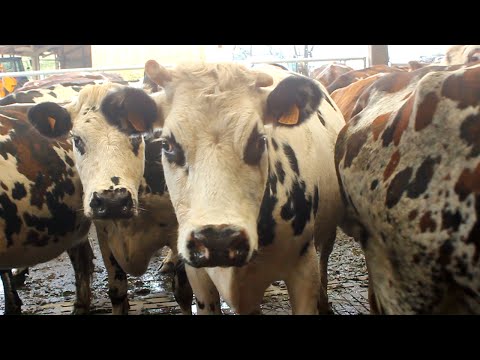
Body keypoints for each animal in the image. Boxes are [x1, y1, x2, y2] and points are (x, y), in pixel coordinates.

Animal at [142, 60, 344, 314]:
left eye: (259, 140)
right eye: (167, 145)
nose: (218, 240)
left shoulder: (304, 267)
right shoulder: (198, 275)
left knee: (325, 256)